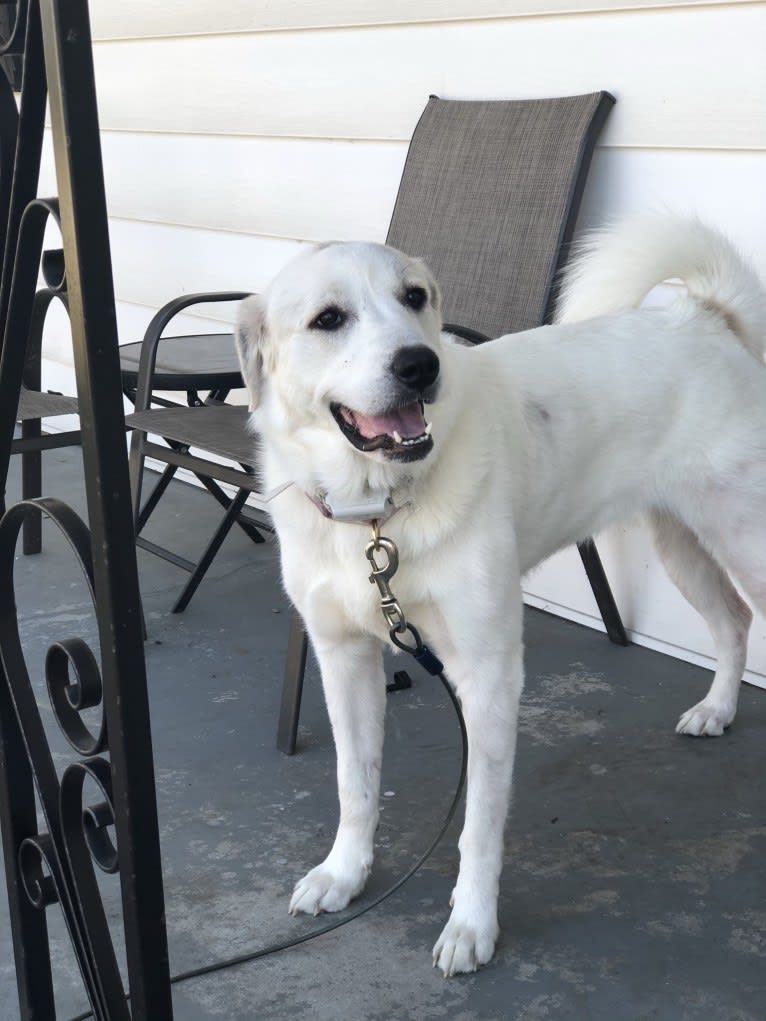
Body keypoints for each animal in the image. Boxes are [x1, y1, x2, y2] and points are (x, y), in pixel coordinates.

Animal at [235, 213, 766, 971]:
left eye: (415, 297)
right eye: (328, 319)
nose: (418, 366)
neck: (378, 513)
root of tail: (704, 316)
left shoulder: (488, 675)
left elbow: (479, 825)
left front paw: (471, 923)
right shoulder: (344, 659)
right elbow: (354, 783)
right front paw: (345, 872)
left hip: (746, 537)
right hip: (679, 541)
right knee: (730, 621)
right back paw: (717, 709)